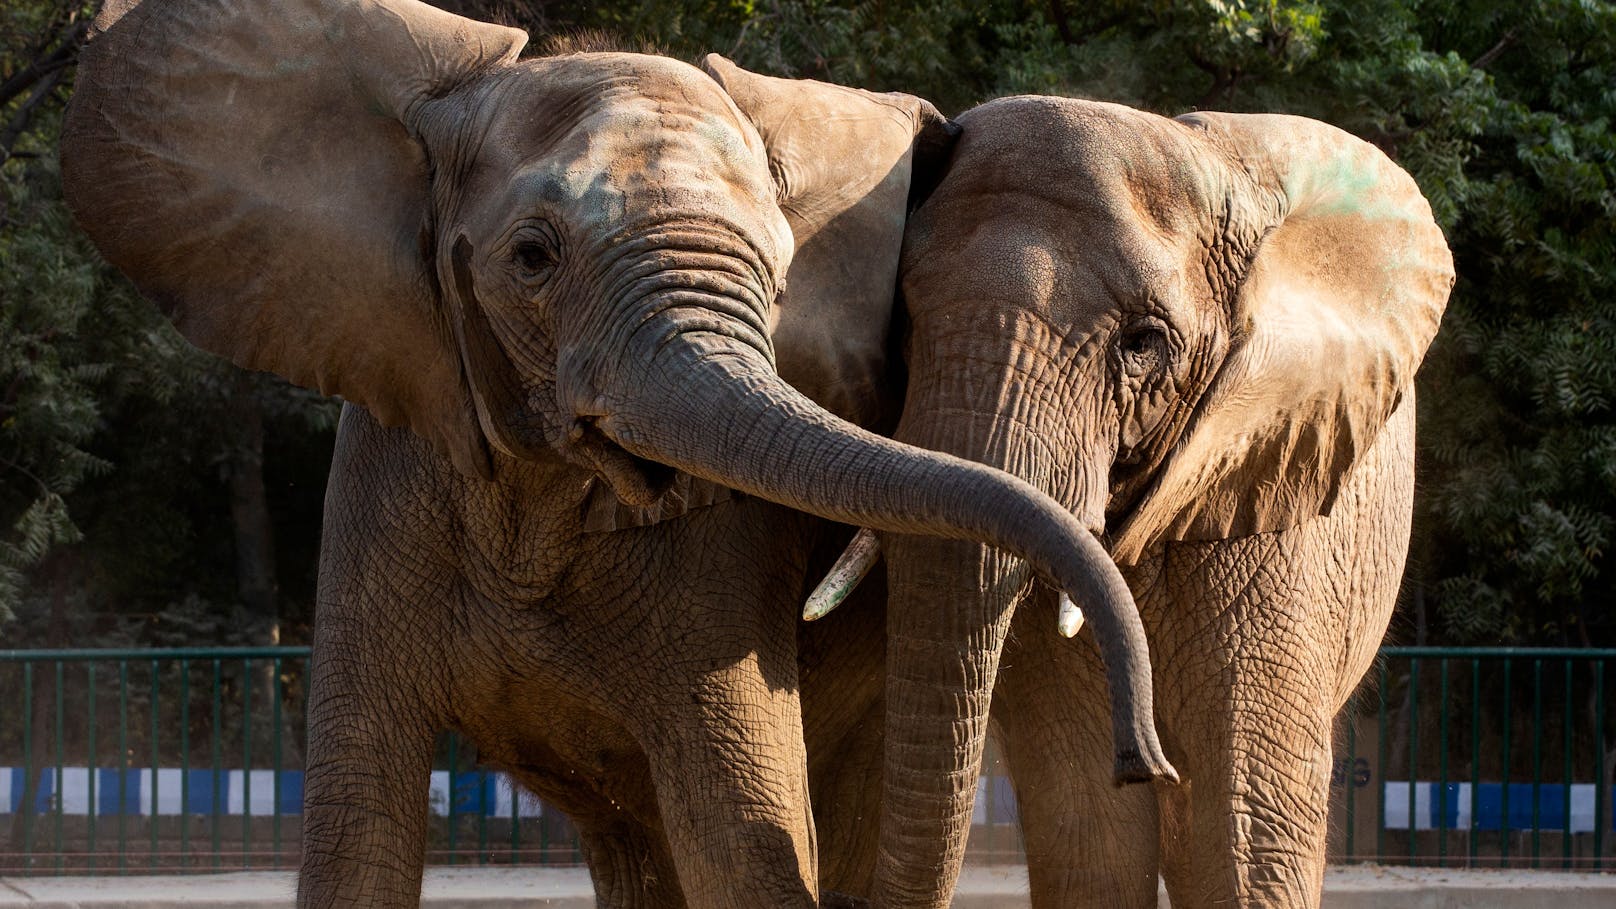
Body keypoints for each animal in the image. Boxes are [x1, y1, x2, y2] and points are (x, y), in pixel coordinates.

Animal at [59, 1, 1176, 905]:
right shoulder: (389, 471)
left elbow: (744, 837)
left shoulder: (722, 561)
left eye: (780, 282)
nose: (1147, 765)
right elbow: (356, 829)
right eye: (532, 258)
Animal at [804, 95, 1454, 899]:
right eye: (904, 321)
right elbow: (1090, 825)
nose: (1142, 755)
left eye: (1143, 343)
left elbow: (1244, 822)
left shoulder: (1276, 492)